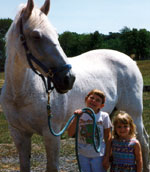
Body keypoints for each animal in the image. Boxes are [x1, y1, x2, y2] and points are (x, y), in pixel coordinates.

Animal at [0, 0, 149, 171]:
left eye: (56, 34)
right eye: (36, 36)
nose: (68, 78)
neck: (21, 94)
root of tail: (131, 60)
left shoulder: (51, 134)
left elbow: (52, 166)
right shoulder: (19, 134)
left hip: (134, 113)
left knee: (143, 142)